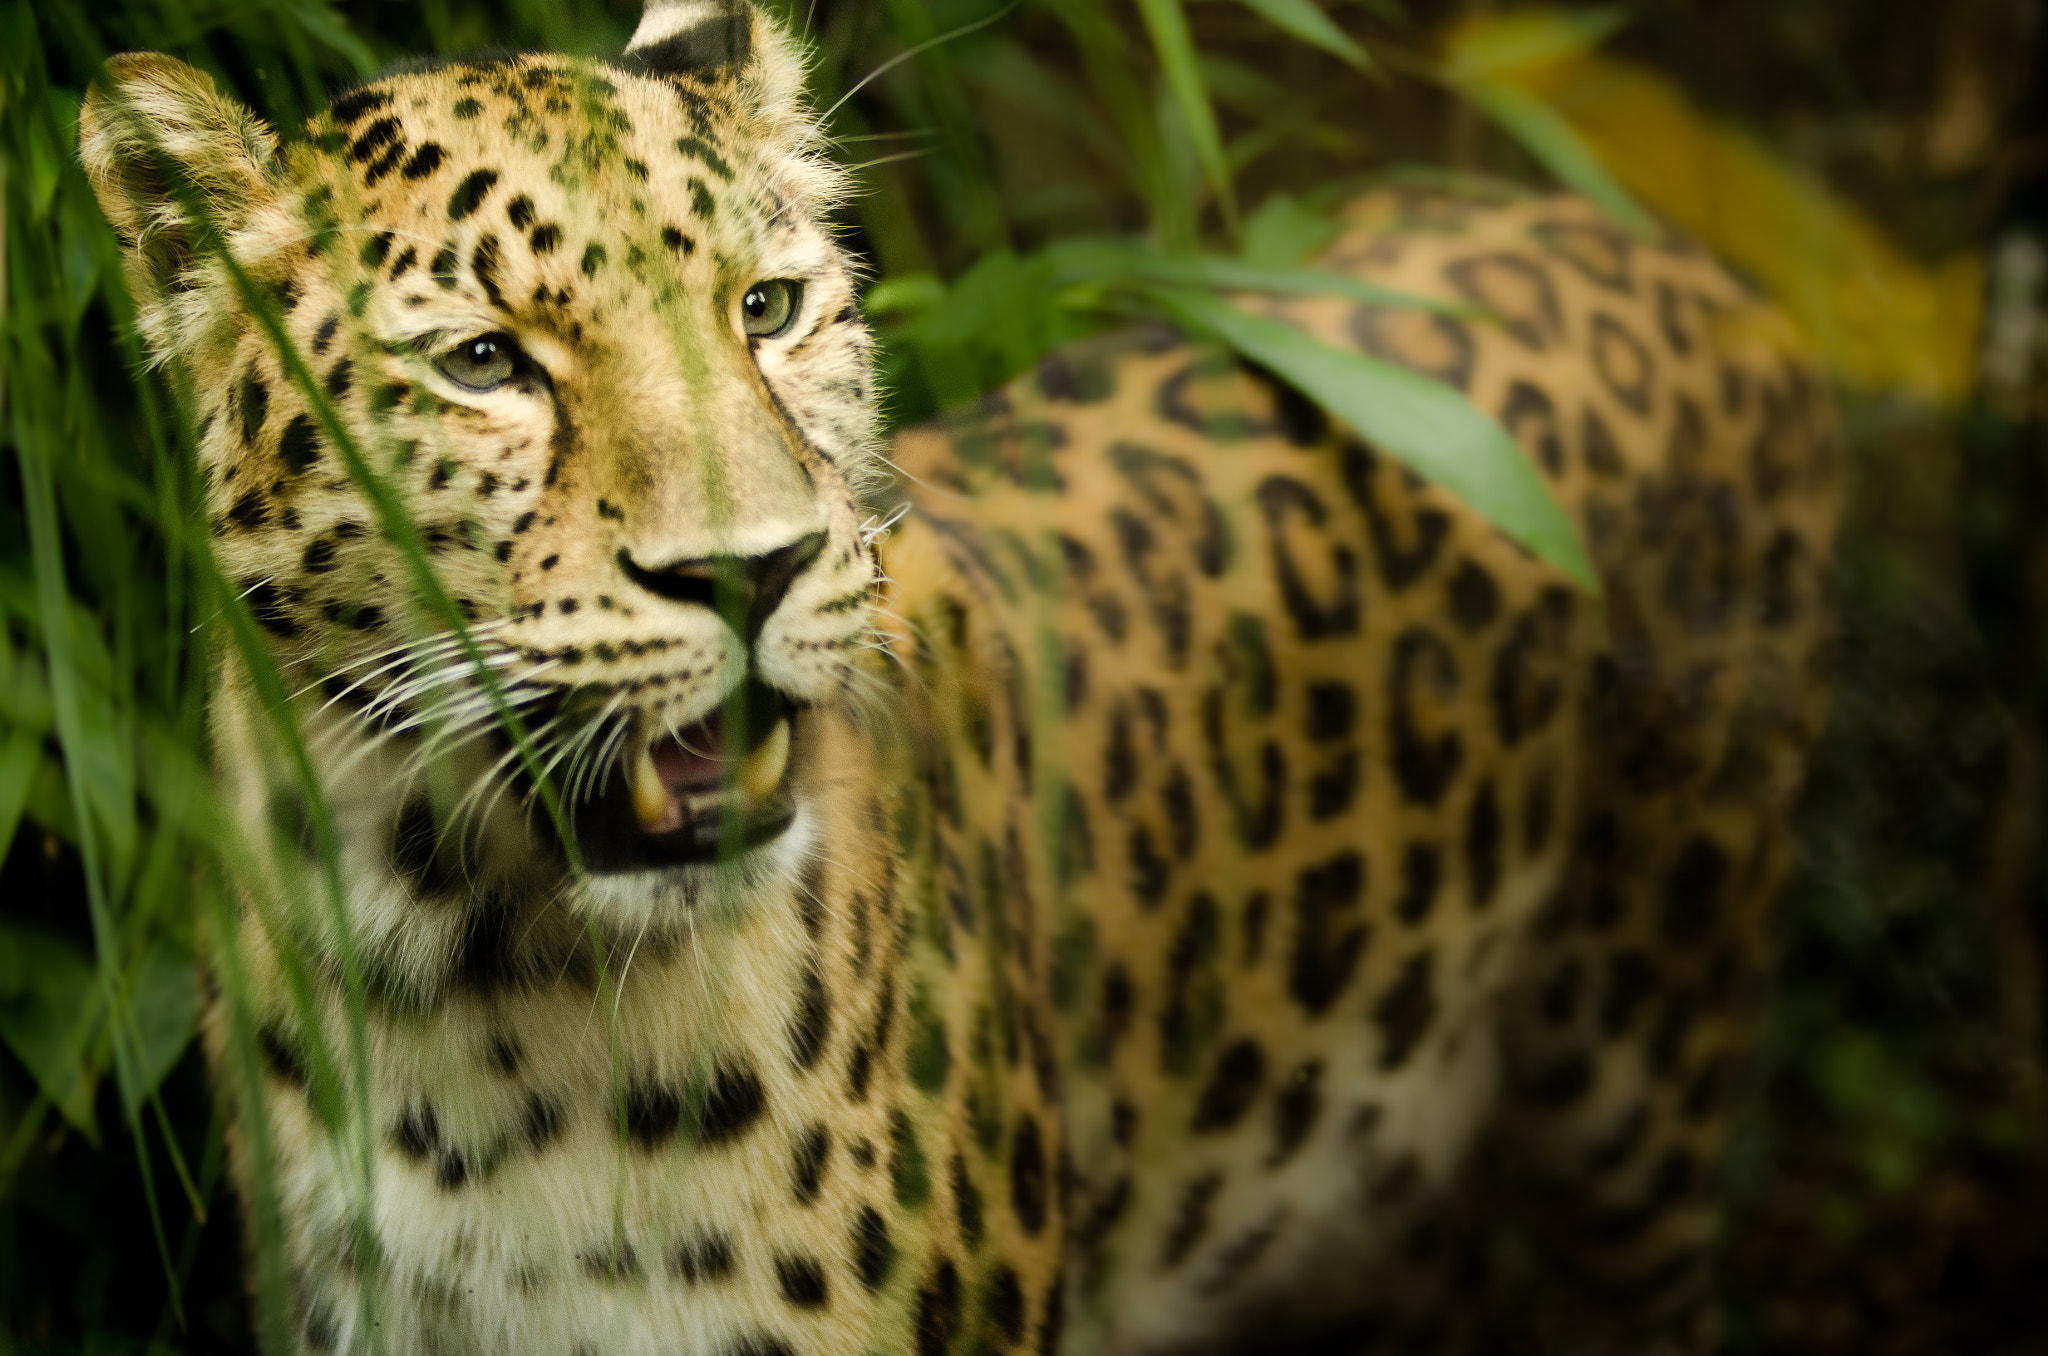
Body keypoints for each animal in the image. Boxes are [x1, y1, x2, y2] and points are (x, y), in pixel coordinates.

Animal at [78, 2, 1840, 1353]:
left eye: (768, 308)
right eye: (485, 363)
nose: (754, 570)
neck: (479, 1001)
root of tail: (1660, 247)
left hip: (1642, 1067)